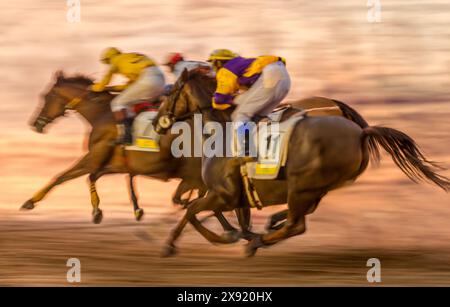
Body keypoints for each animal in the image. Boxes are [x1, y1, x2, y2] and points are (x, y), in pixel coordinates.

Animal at [153, 70, 448, 258]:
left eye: (171, 92)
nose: (157, 121)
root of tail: (361, 132)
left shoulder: (222, 195)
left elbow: (193, 211)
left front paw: (172, 245)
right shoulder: (234, 197)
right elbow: (224, 216)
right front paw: (238, 233)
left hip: (301, 185)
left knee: (298, 224)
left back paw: (258, 241)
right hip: (313, 188)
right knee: (300, 217)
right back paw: (266, 230)